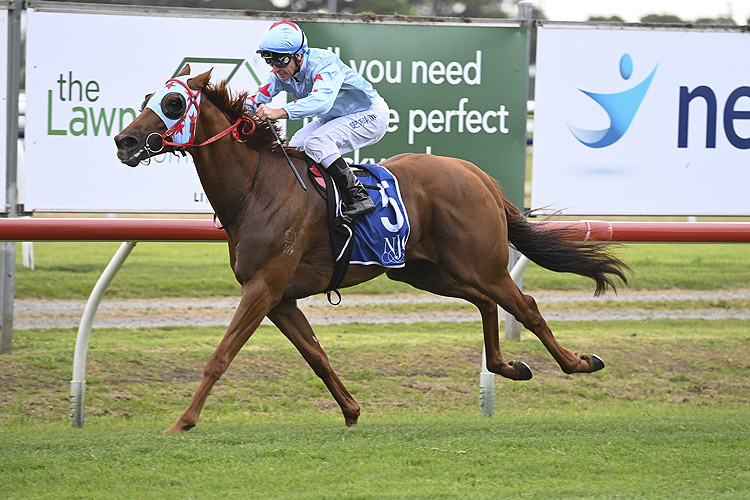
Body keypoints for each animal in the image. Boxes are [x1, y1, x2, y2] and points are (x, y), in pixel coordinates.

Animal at [113, 66, 628, 434]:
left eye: (174, 102)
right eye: (147, 99)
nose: (125, 140)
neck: (258, 189)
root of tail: (475, 173)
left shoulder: (262, 289)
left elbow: (220, 357)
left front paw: (181, 423)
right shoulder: (280, 299)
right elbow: (316, 356)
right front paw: (352, 411)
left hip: (481, 263)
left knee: (526, 306)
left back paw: (579, 362)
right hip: (423, 270)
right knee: (487, 303)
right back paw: (508, 366)